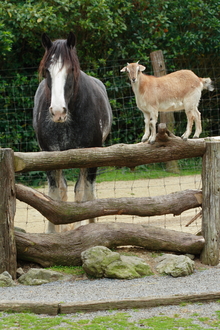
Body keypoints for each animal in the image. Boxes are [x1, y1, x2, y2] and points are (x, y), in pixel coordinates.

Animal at [33, 31, 112, 232]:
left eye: (72, 69)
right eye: (47, 71)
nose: (58, 111)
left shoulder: (92, 155)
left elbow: (86, 194)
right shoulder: (49, 155)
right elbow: (54, 195)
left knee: (82, 190)